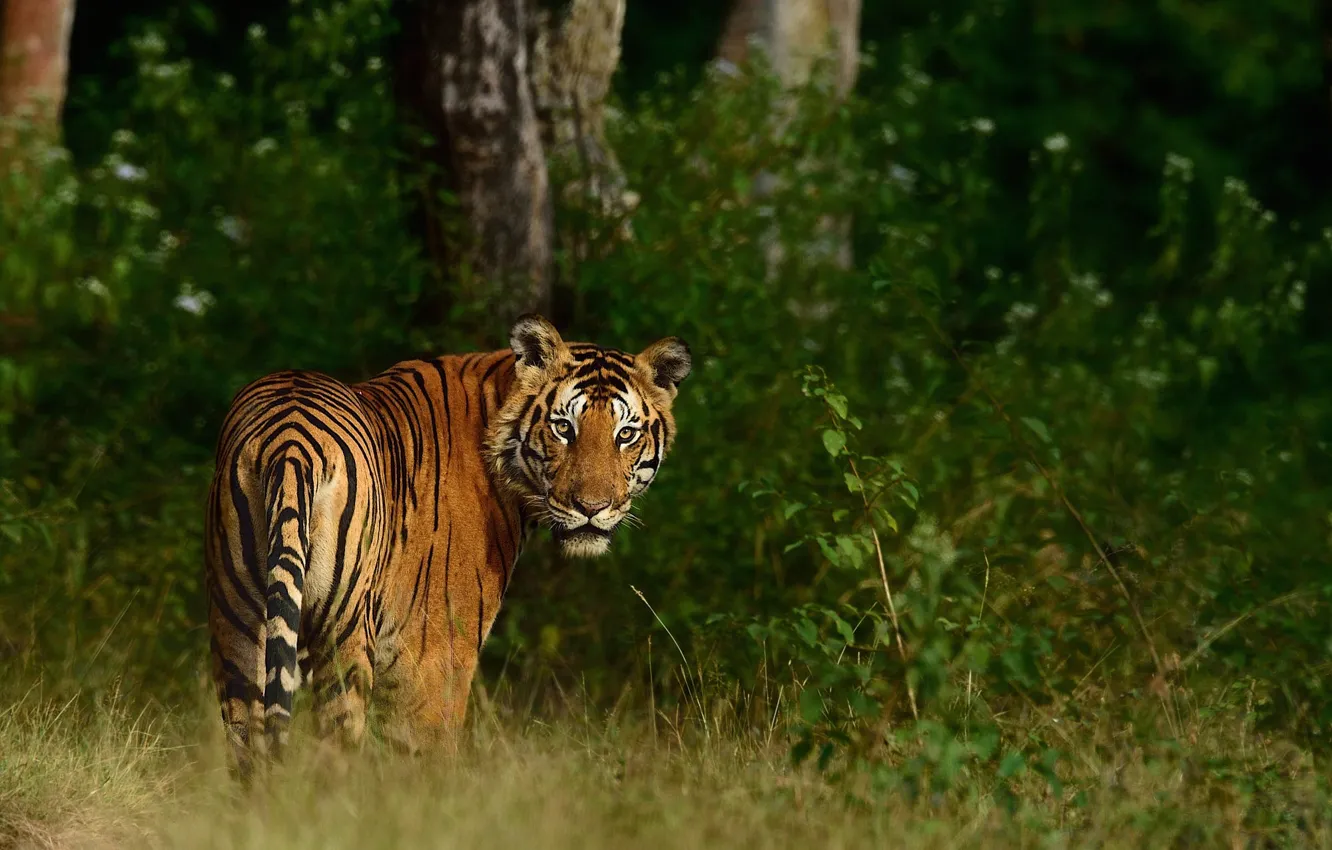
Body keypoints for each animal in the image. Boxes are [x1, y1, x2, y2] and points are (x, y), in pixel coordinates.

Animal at [204, 314, 691, 779]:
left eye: (625, 434)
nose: (591, 508)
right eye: (563, 427)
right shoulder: (433, 652)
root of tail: (290, 442)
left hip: (239, 623)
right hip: (339, 626)